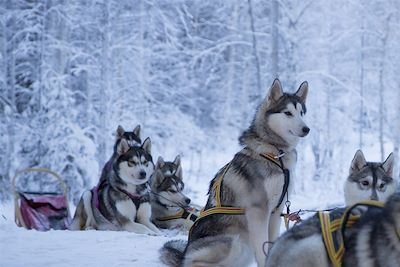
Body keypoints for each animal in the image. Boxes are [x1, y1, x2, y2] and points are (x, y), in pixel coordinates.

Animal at [159, 79, 310, 267]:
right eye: (288, 113)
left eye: (302, 113)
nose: (306, 129)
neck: (276, 154)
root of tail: (184, 253)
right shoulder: (258, 211)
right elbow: (262, 250)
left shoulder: (276, 211)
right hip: (233, 242)